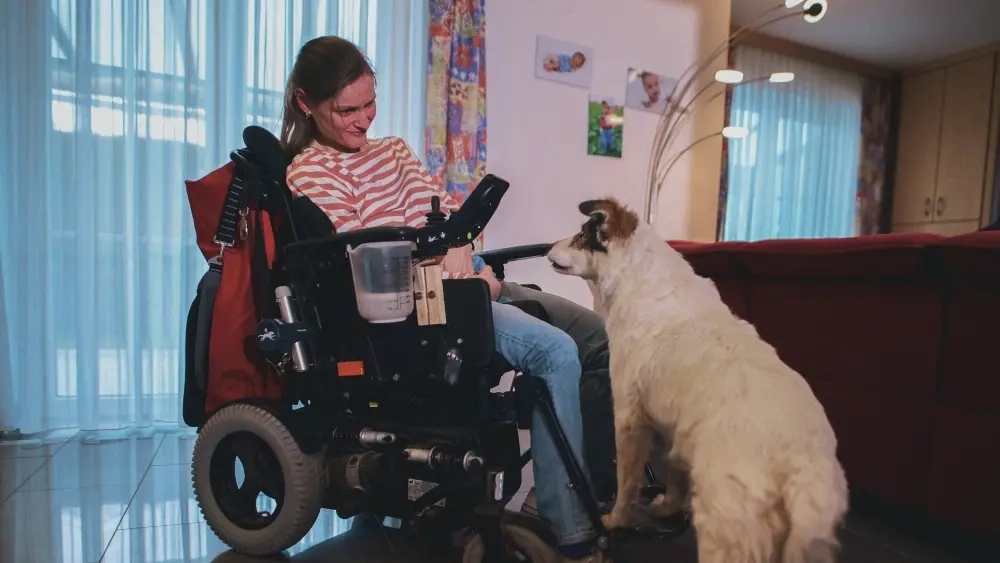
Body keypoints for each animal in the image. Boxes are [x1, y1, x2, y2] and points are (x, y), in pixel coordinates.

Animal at [547, 198, 848, 563]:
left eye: (581, 235)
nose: (546, 249)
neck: (641, 277)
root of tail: (802, 466)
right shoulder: (674, 426)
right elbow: (675, 474)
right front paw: (668, 507)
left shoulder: (630, 418)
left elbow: (627, 483)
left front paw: (616, 520)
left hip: (723, 530)